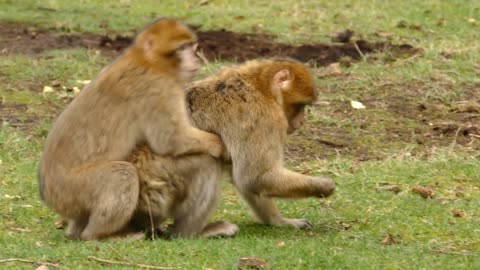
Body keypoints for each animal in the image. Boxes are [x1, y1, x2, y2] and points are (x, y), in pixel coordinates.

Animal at [37, 19, 225, 243]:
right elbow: (170, 140)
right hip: (73, 191)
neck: (149, 61)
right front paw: (219, 145)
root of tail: (48, 194)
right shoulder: (158, 87)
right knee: (122, 175)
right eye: (182, 48)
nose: (194, 57)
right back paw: (101, 235)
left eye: (191, 46)